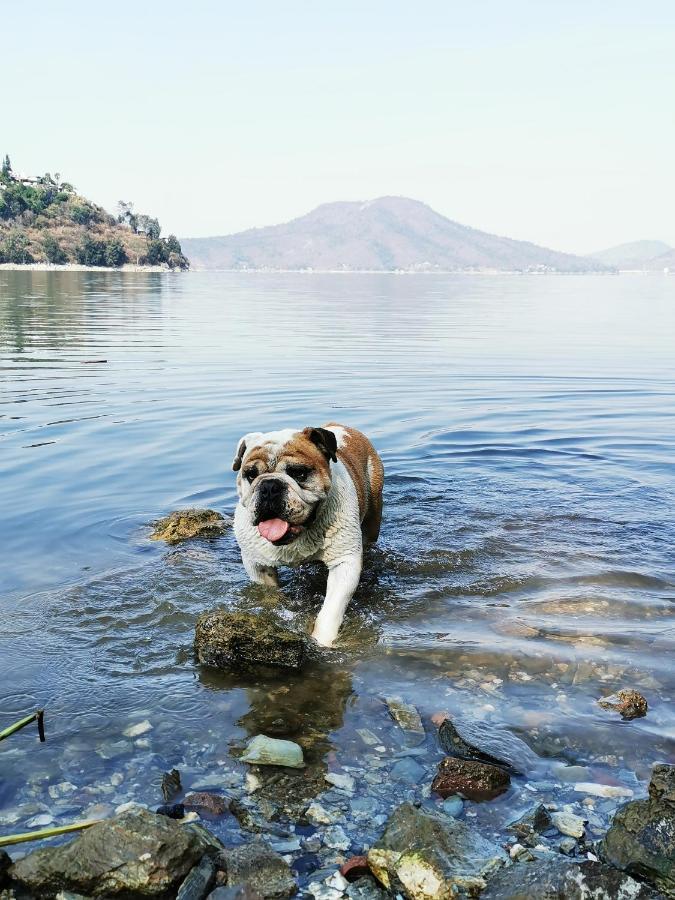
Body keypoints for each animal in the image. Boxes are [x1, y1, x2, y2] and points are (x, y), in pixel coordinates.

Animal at [232, 424, 382, 644]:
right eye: (251, 474)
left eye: (298, 473)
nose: (269, 486)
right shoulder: (257, 565)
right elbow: (268, 595)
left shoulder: (344, 563)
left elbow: (331, 609)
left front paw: (322, 641)